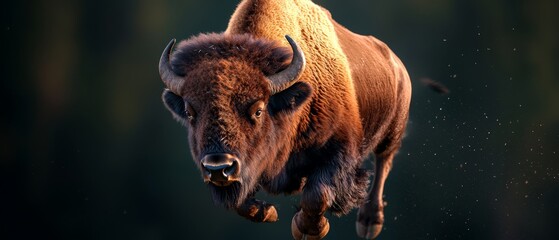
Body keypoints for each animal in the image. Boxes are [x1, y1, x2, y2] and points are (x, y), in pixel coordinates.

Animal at [158, 0, 412, 239]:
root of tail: (397, 65)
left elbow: (316, 195)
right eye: (190, 112)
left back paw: (369, 223)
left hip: (392, 131)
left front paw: (307, 228)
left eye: (258, 110)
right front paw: (268, 212)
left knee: (384, 161)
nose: (218, 167)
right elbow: (242, 201)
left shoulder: (341, 150)